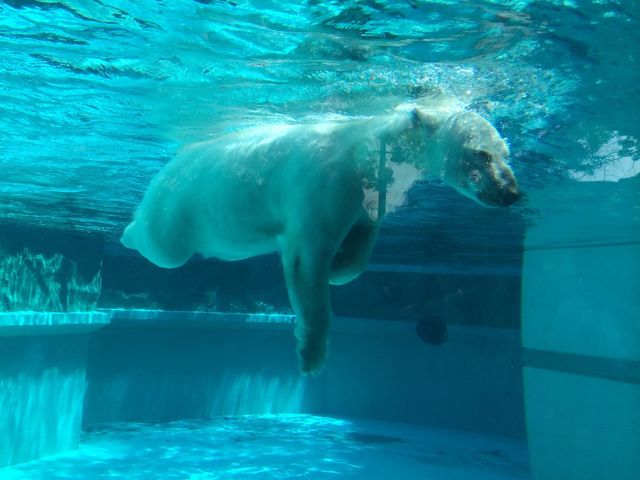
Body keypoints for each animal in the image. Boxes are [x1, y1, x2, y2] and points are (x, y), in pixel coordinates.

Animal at [121, 95, 520, 374]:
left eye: (506, 152)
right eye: (481, 154)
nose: (512, 193)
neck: (367, 150)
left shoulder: (372, 194)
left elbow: (363, 239)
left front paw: (341, 267)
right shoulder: (328, 184)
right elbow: (307, 258)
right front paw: (311, 354)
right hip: (178, 206)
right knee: (164, 248)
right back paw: (129, 233)